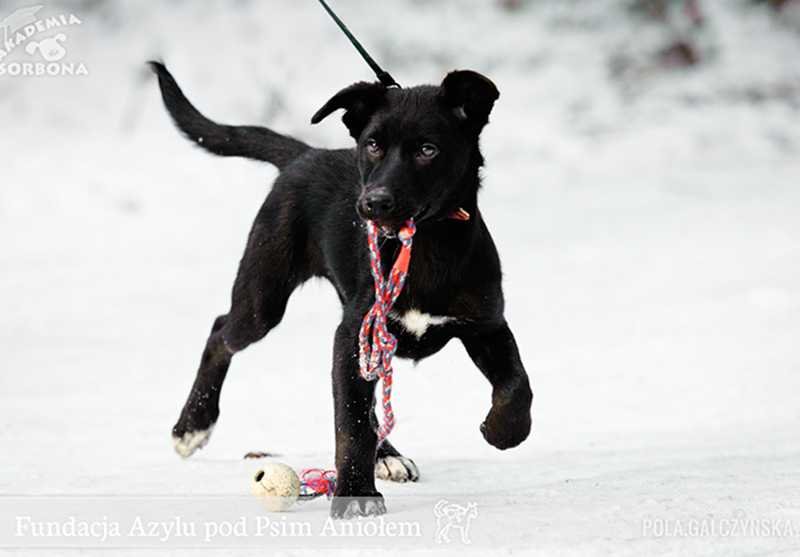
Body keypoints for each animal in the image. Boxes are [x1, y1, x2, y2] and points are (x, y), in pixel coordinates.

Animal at [153, 60, 536, 516]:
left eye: (428, 150)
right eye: (372, 145)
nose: (373, 203)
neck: (423, 246)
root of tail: (306, 154)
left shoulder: (487, 323)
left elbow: (517, 385)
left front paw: (503, 430)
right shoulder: (354, 333)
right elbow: (351, 422)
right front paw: (356, 492)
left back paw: (388, 456)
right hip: (264, 299)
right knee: (220, 331)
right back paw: (191, 426)